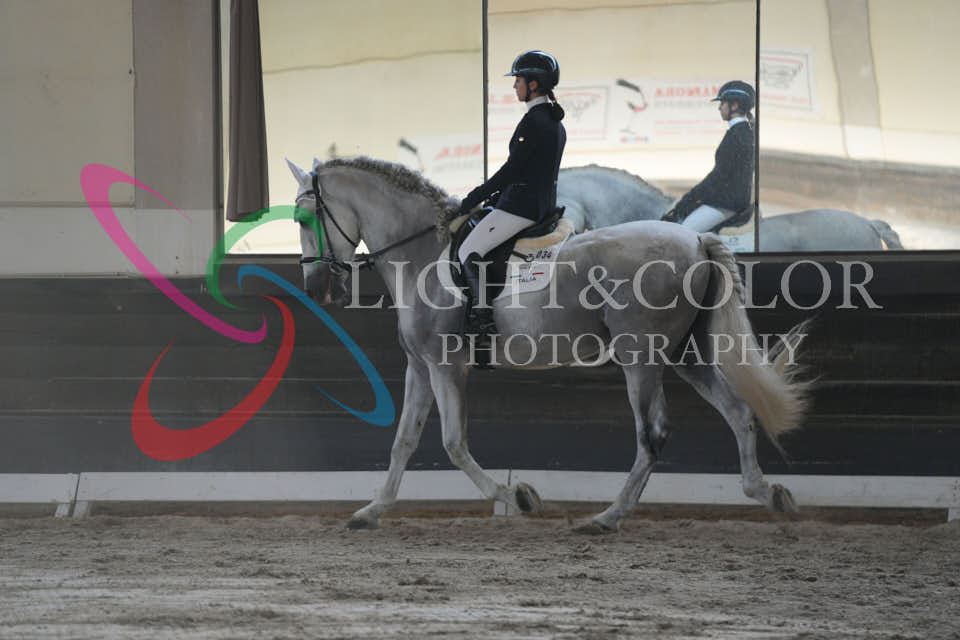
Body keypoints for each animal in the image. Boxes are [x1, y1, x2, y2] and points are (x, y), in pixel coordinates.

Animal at [285, 156, 810, 533]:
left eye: (305, 217)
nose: (317, 287)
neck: (422, 254)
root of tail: (696, 241)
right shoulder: (419, 365)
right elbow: (403, 442)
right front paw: (372, 511)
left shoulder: (445, 366)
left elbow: (453, 443)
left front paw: (518, 498)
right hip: (685, 353)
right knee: (738, 411)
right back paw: (768, 494)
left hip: (640, 357)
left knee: (653, 433)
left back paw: (607, 518)